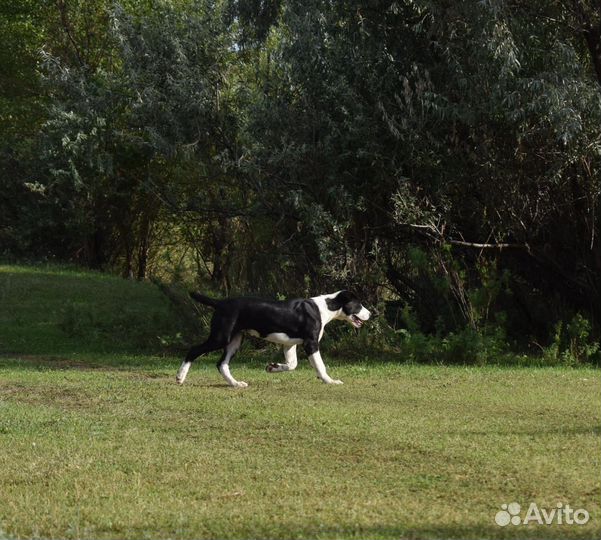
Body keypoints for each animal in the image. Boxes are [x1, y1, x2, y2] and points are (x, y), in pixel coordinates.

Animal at [176, 292, 368, 388]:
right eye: (359, 304)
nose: (371, 313)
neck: (326, 307)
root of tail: (220, 303)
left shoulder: (289, 344)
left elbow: (292, 365)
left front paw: (272, 367)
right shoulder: (311, 343)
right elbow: (320, 366)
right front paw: (330, 381)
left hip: (235, 340)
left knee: (222, 364)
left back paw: (236, 384)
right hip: (221, 337)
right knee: (194, 350)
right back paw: (180, 377)